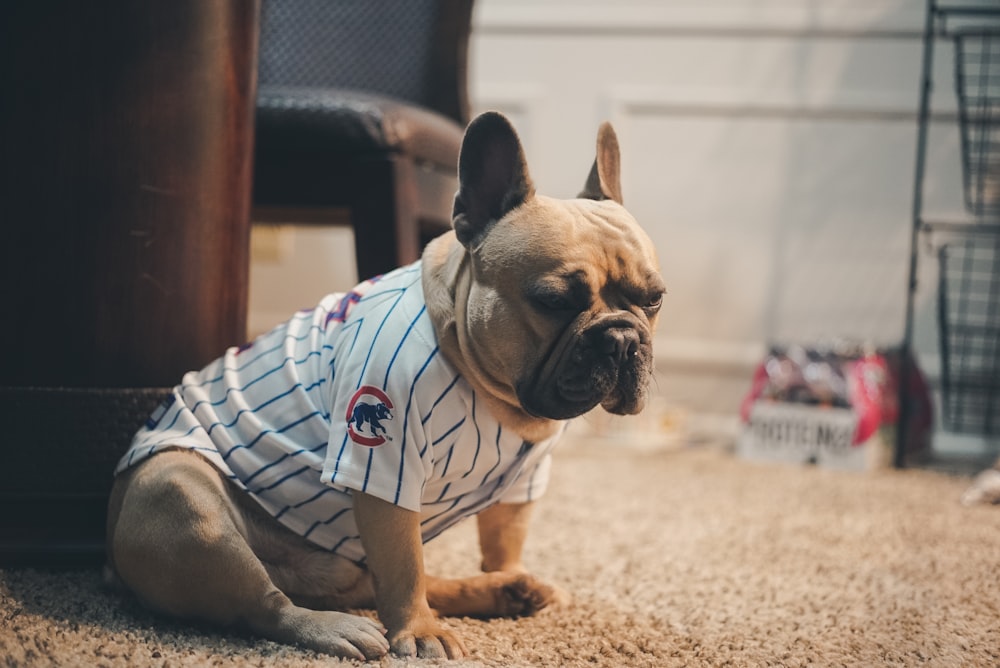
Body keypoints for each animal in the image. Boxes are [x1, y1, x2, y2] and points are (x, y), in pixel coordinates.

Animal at [105, 112, 664, 660]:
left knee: (385, 584)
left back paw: (502, 590)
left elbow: (500, 543)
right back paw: (339, 628)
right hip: (181, 498)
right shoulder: (386, 464)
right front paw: (419, 631)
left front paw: (504, 574)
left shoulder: (522, 484)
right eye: (552, 301)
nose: (620, 338)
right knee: (269, 605)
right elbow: (404, 568)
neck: (491, 393)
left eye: (655, 298)